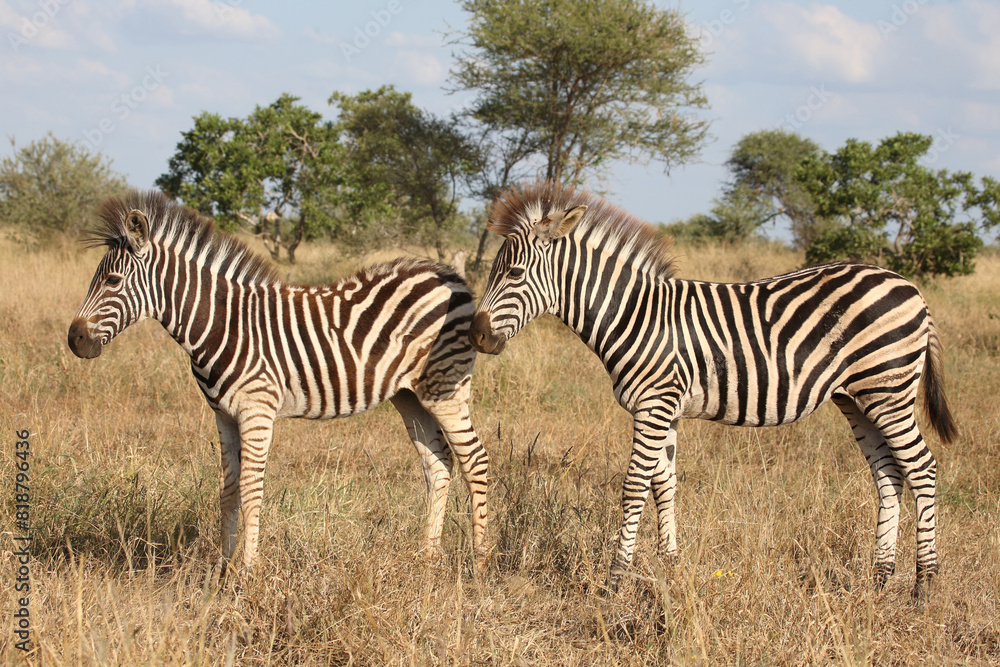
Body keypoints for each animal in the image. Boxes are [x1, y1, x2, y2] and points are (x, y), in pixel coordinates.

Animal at [68, 191, 489, 572]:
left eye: (112, 280)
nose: (75, 340)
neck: (223, 324)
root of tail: (451, 275)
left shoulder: (256, 411)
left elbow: (252, 491)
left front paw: (249, 571)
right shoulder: (223, 416)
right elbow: (228, 491)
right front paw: (222, 570)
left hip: (445, 387)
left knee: (475, 460)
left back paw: (479, 561)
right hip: (410, 395)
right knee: (438, 463)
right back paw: (428, 557)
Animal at [469, 181, 956, 598]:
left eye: (514, 273)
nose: (476, 336)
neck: (634, 314)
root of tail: (909, 286)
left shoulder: (653, 406)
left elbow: (634, 486)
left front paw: (615, 579)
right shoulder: (665, 410)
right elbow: (664, 485)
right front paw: (670, 566)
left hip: (888, 391)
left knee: (922, 468)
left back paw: (924, 585)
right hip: (857, 398)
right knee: (889, 474)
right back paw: (880, 578)